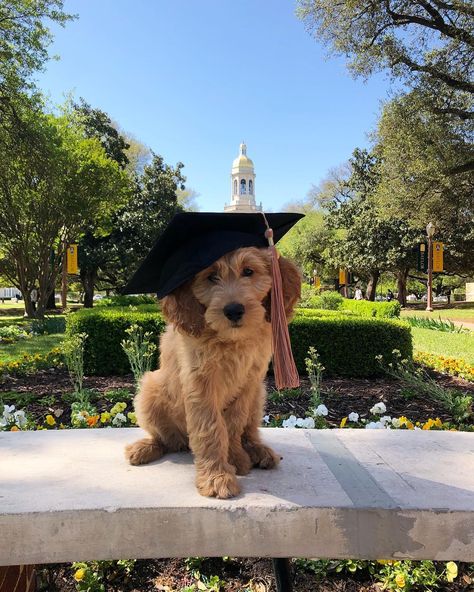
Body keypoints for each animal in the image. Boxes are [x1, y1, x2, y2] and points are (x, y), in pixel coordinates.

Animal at [123, 246, 300, 500]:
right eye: (211, 277)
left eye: (248, 271)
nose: (234, 310)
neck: (231, 340)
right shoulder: (201, 381)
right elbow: (211, 428)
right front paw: (217, 477)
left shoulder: (250, 379)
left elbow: (234, 422)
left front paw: (235, 459)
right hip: (150, 389)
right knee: (164, 438)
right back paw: (145, 448)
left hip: (259, 395)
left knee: (249, 430)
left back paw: (257, 451)